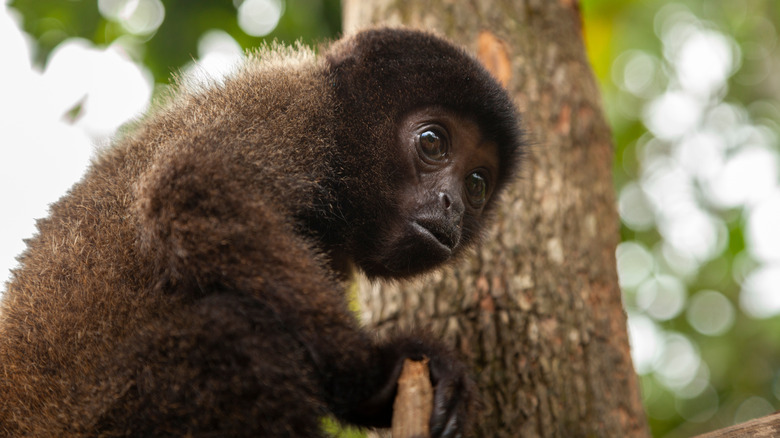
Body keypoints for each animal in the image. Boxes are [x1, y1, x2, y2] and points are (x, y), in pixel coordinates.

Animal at [0, 28, 522, 437]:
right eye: (433, 142)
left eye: (477, 183)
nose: (453, 204)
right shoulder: (289, 110)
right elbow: (195, 186)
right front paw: (376, 373)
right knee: (236, 329)